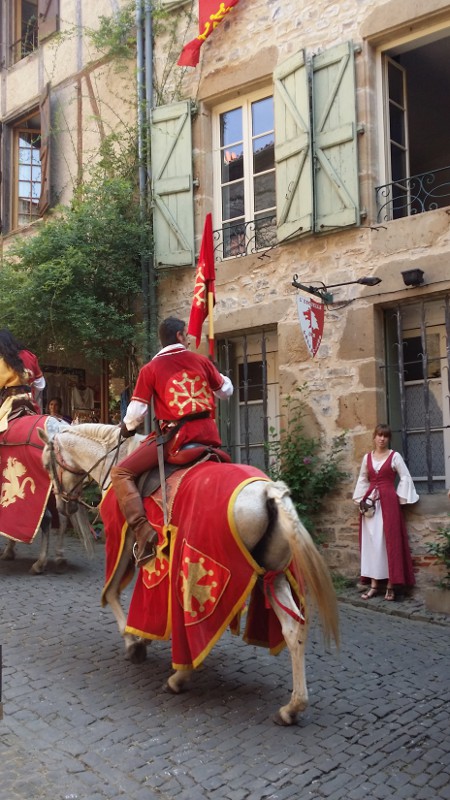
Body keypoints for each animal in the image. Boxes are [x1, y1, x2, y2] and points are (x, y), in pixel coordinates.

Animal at [40, 424, 340, 724]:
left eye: (46, 464)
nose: (62, 507)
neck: (116, 457)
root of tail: (270, 490)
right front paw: (144, 636)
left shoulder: (123, 541)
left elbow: (112, 591)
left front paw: (133, 642)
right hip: (273, 577)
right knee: (293, 629)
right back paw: (292, 707)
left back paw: (179, 677)